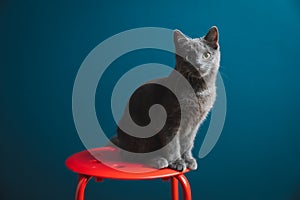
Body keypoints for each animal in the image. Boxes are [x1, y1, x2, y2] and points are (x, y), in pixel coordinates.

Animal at [112, 25, 220, 171]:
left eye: (206, 55)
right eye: (189, 56)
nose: (198, 64)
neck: (198, 90)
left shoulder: (194, 124)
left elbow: (188, 142)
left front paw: (188, 159)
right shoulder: (169, 120)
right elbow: (172, 144)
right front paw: (177, 162)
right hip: (140, 133)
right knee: (133, 155)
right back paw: (157, 160)